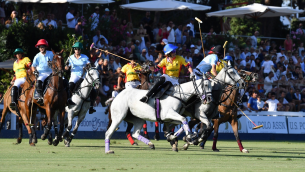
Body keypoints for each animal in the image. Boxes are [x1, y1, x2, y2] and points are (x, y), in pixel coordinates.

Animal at [105, 61, 245, 154]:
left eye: (211, 85)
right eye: (232, 72)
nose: (243, 83)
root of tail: (117, 95)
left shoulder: (178, 117)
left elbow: (188, 125)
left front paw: (184, 138)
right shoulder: (193, 115)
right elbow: (188, 123)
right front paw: (190, 138)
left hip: (137, 118)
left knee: (134, 133)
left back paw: (153, 143)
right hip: (119, 116)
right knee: (110, 132)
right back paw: (109, 150)